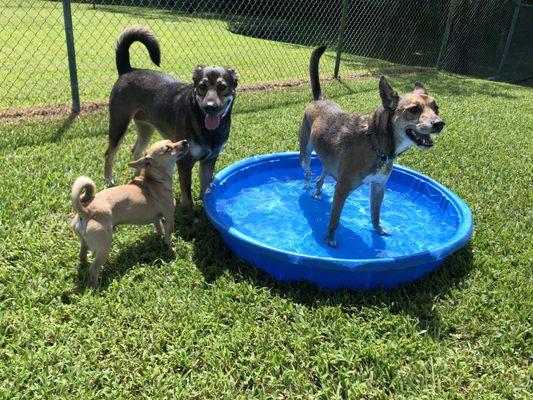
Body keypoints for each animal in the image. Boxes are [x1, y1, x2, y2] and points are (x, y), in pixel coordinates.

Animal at [69, 139, 188, 286]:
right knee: (94, 269)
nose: (185, 141)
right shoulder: (169, 217)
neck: (154, 179)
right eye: (168, 149)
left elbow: (159, 228)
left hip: (84, 242)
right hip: (104, 247)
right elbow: (168, 236)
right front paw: (170, 248)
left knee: (82, 255)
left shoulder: (156, 218)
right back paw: (96, 286)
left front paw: (159, 238)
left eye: (172, 141)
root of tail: (85, 211)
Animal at [104, 25, 237, 216]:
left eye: (222, 87)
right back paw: (108, 180)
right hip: (119, 123)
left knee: (136, 150)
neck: (206, 126)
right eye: (202, 86)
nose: (210, 107)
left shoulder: (209, 160)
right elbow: (187, 197)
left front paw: (207, 212)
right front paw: (189, 216)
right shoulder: (184, 162)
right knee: (109, 153)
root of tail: (128, 70)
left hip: (146, 128)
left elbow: (206, 190)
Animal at [300, 46, 444, 247]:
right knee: (307, 172)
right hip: (305, 152)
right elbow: (334, 218)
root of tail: (319, 99)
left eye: (436, 107)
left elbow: (375, 214)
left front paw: (379, 231)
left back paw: (318, 191)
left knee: (322, 175)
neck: (376, 144)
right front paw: (330, 239)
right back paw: (307, 184)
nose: (439, 124)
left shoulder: (378, 187)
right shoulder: (342, 189)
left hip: (329, 161)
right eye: (414, 109)